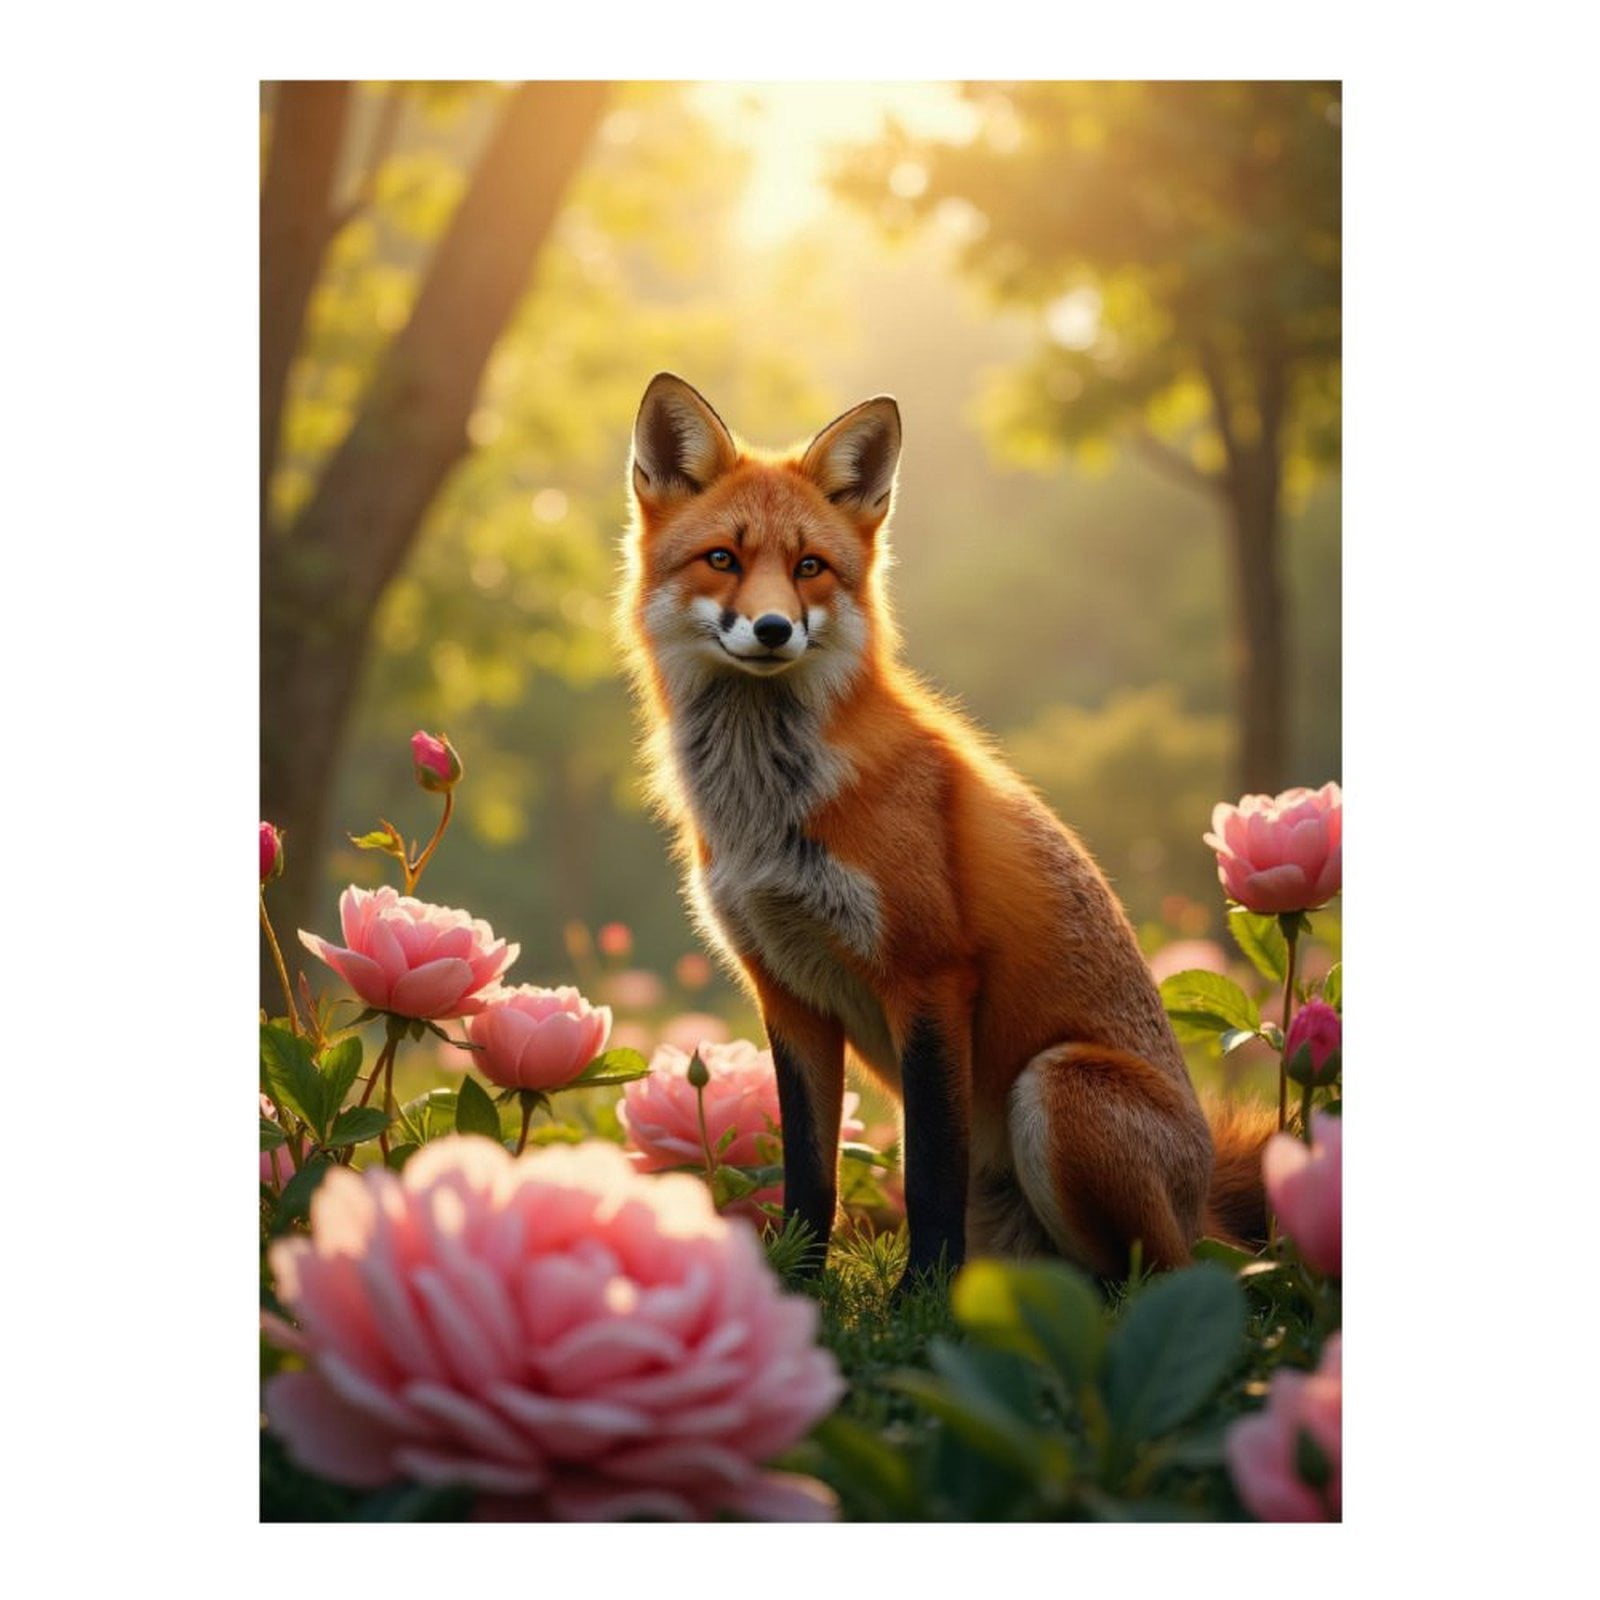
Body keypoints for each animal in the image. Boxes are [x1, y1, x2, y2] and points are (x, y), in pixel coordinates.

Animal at [619, 372, 1271, 1286]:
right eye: (723, 559)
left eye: (810, 568)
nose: (775, 629)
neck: (767, 810)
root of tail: (1203, 1201)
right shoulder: (785, 989)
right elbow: (810, 1169)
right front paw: (798, 1284)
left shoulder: (929, 971)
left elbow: (929, 1170)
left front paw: (917, 1296)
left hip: (1058, 1086)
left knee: (1151, 1282)